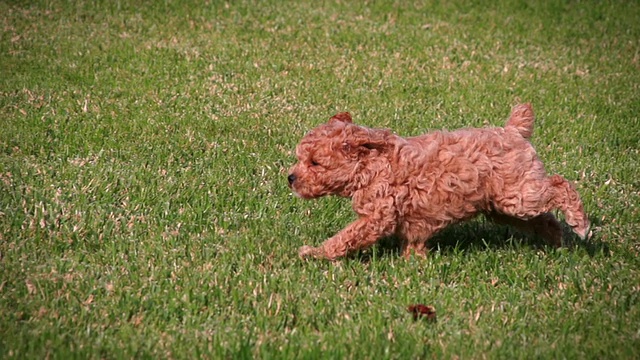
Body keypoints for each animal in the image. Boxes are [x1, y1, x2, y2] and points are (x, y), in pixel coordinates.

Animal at [288, 104, 592, 258]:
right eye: (301, 159)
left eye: (314, 163)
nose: (291, 178)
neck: (371, 166)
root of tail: (513, 131)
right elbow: (413, 243)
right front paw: (414, 264)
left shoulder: (378, 216)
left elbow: (345, 238)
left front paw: (315, 252)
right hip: (505, 203)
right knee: (543, 218)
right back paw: (558, 243)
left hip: (517, 196)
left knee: (559, 185)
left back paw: (580, 224)